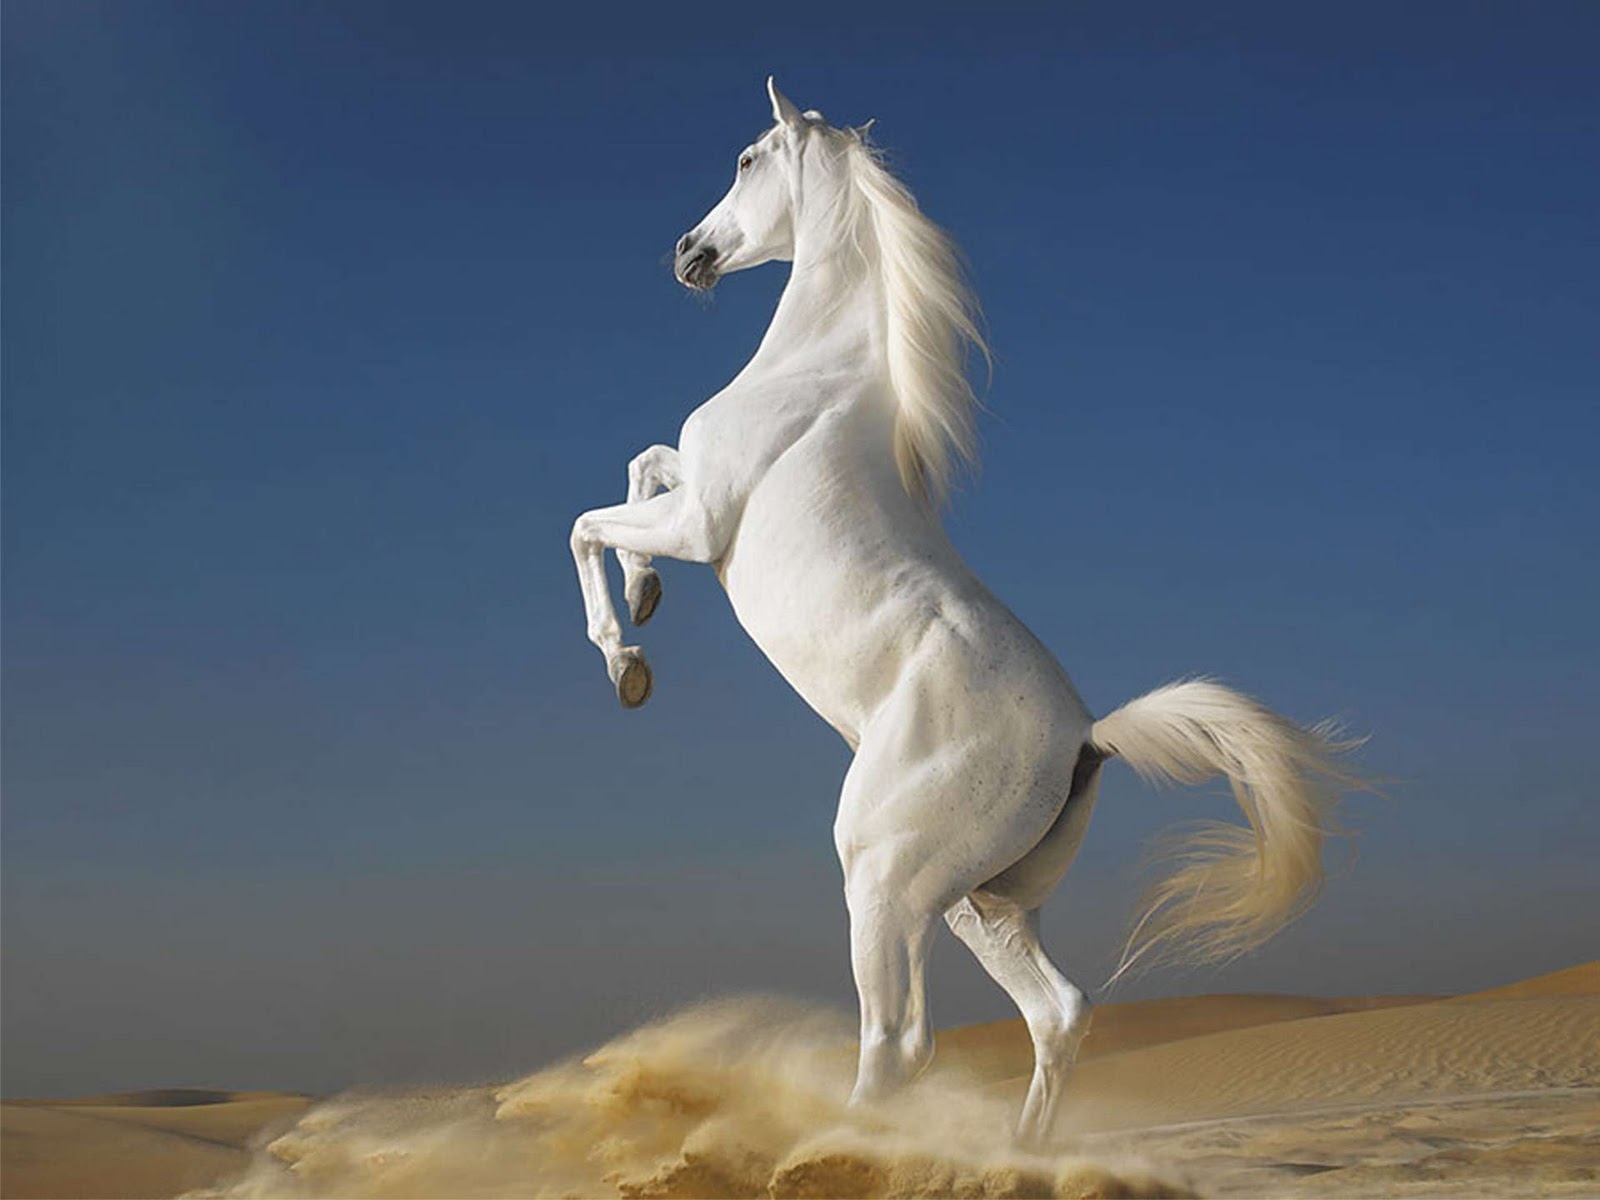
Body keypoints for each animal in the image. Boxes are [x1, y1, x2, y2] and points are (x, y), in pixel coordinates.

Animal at [567, 79, 1362, 1143]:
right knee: (1057, 1013)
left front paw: (628, 660)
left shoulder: (702, 523)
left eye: (745, 159)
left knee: (901, 1043)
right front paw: (647, 598)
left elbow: (590, 521)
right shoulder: (688, 496)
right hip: (974, 902)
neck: (814, 375)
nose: (690, 252)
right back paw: (1017, 1154)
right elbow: (643, 463)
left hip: (882, 877)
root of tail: (1088, 738)